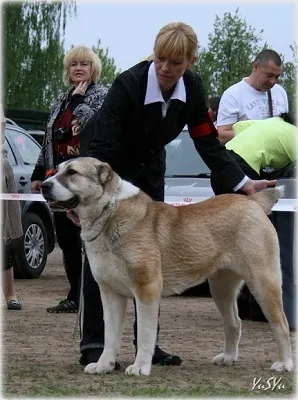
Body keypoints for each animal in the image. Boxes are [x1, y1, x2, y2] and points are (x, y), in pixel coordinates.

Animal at [41, 156, 294, 376]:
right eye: (57, 170)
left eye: (72, 173)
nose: (43, 185)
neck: (110, 212)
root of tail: (252, 202)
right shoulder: (110, 293)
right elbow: (110, 335)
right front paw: (104, 365)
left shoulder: (147, 289)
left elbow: (145, 333)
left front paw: (140, 368)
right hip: (221, 288)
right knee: (234, 322)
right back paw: (228, 357)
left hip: (263, 282)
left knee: (281, 323)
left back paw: (285, 364)